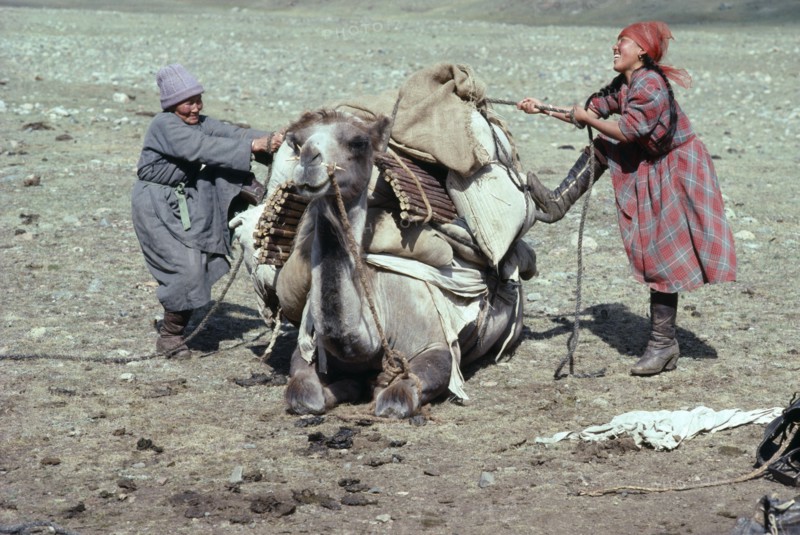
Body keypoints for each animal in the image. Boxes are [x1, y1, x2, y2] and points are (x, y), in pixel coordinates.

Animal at [281, 109, 524, 419]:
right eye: (297, 143)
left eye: (358, 142)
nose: (309, 160)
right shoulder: (306, 346)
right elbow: (303, 395)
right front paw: (348, 385)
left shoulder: (437, 345)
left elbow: (394, 399)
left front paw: (374, 386)